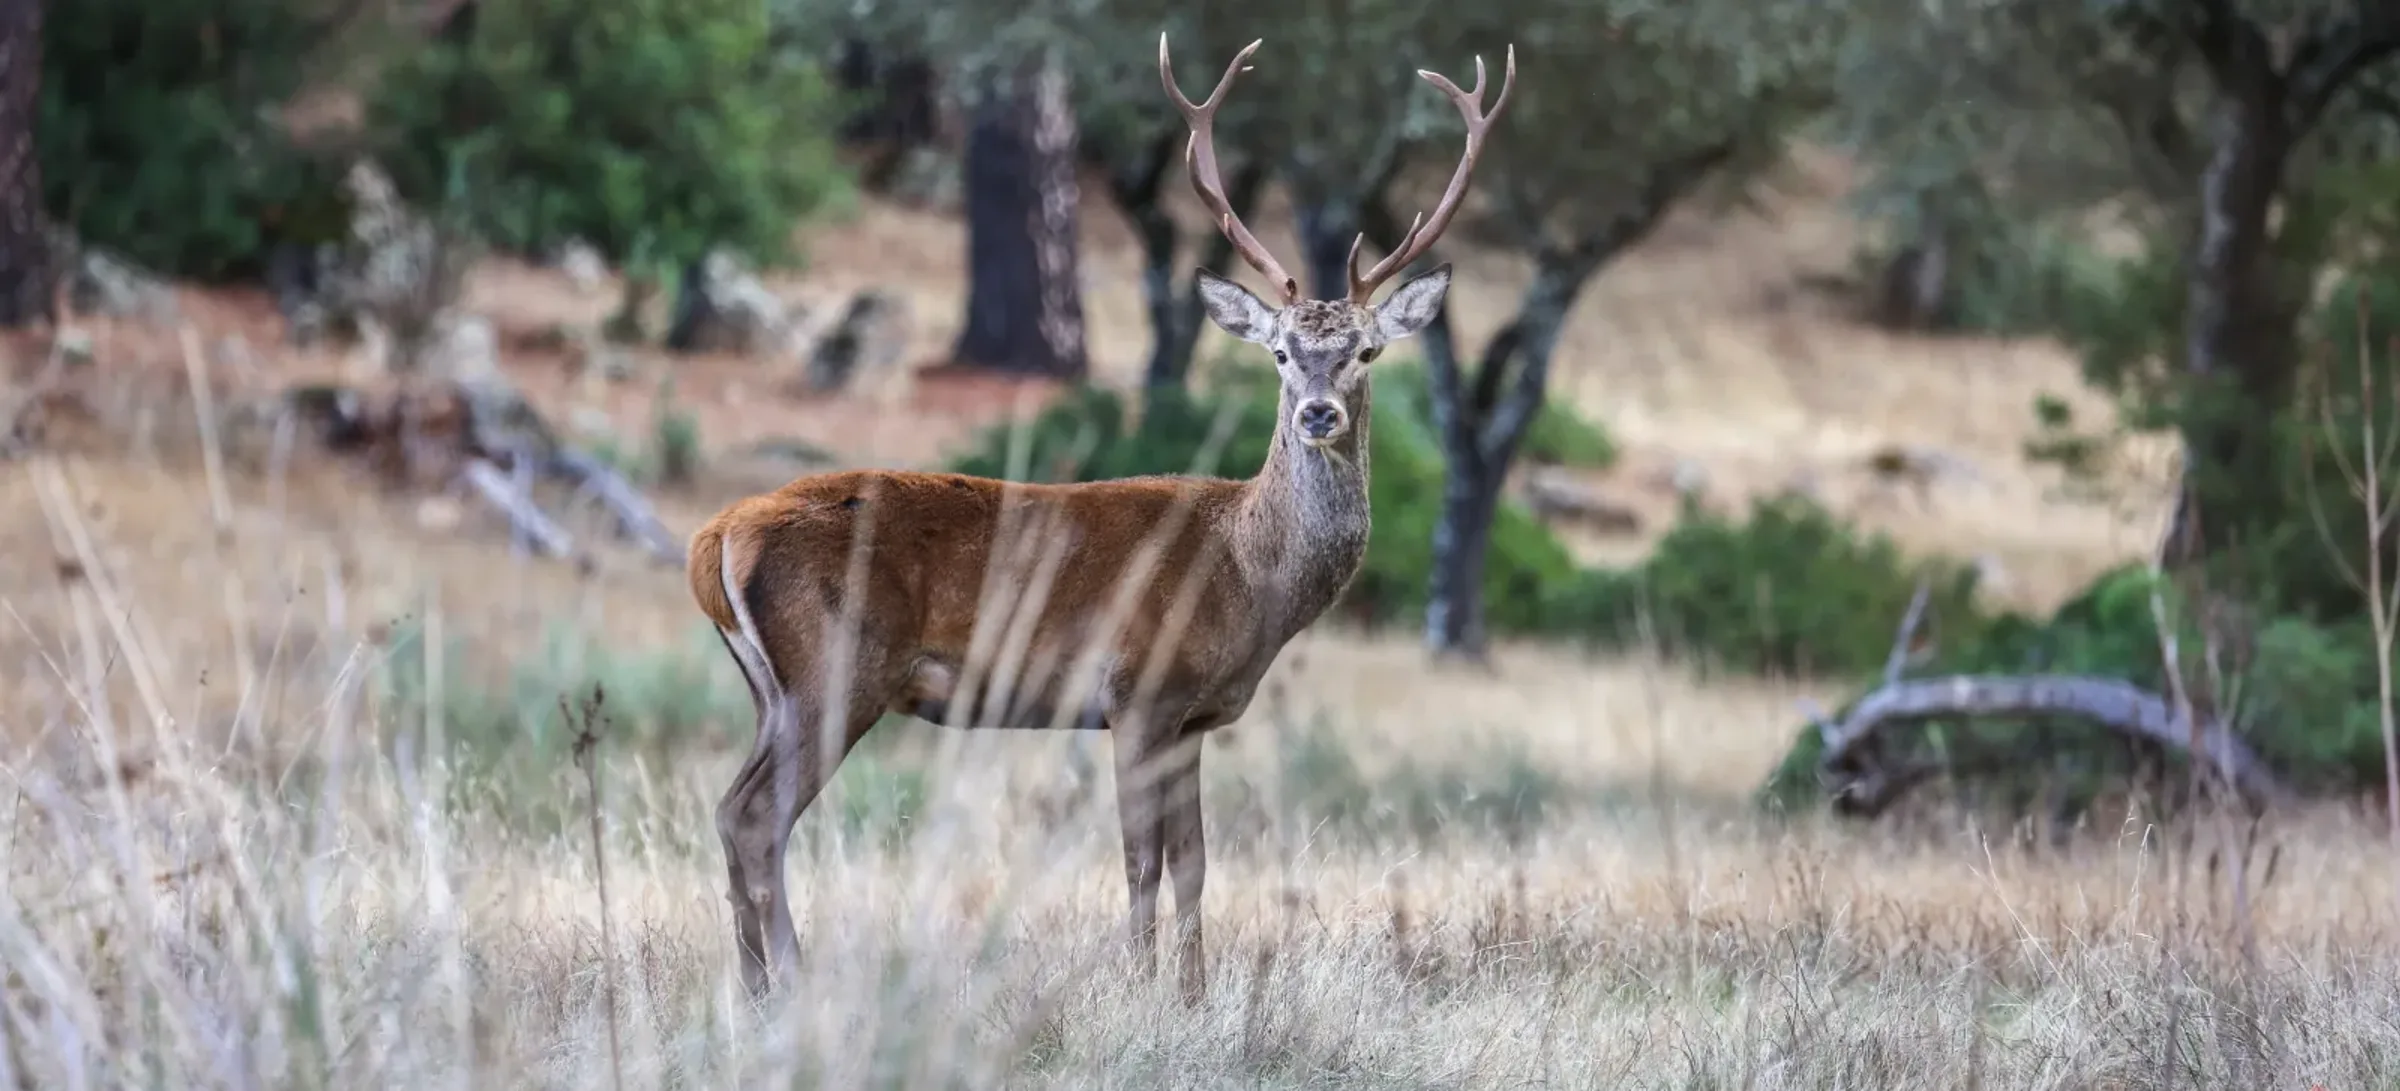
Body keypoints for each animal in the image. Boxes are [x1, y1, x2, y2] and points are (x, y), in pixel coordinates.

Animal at [686, 32, 1513, 1005]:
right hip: (836, 667)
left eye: (1367, 350)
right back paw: (788, 986)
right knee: (755, 818)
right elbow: (1139, 861)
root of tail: (714, 538)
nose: (1318, 413)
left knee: (733, 812)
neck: (1247, 571)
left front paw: (1193, 995)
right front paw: (1142, 988)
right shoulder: (1137, 692)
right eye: (1280, 352)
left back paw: (757, 990)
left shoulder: (1192, 718)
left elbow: (1195, 861)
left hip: (771, 687)